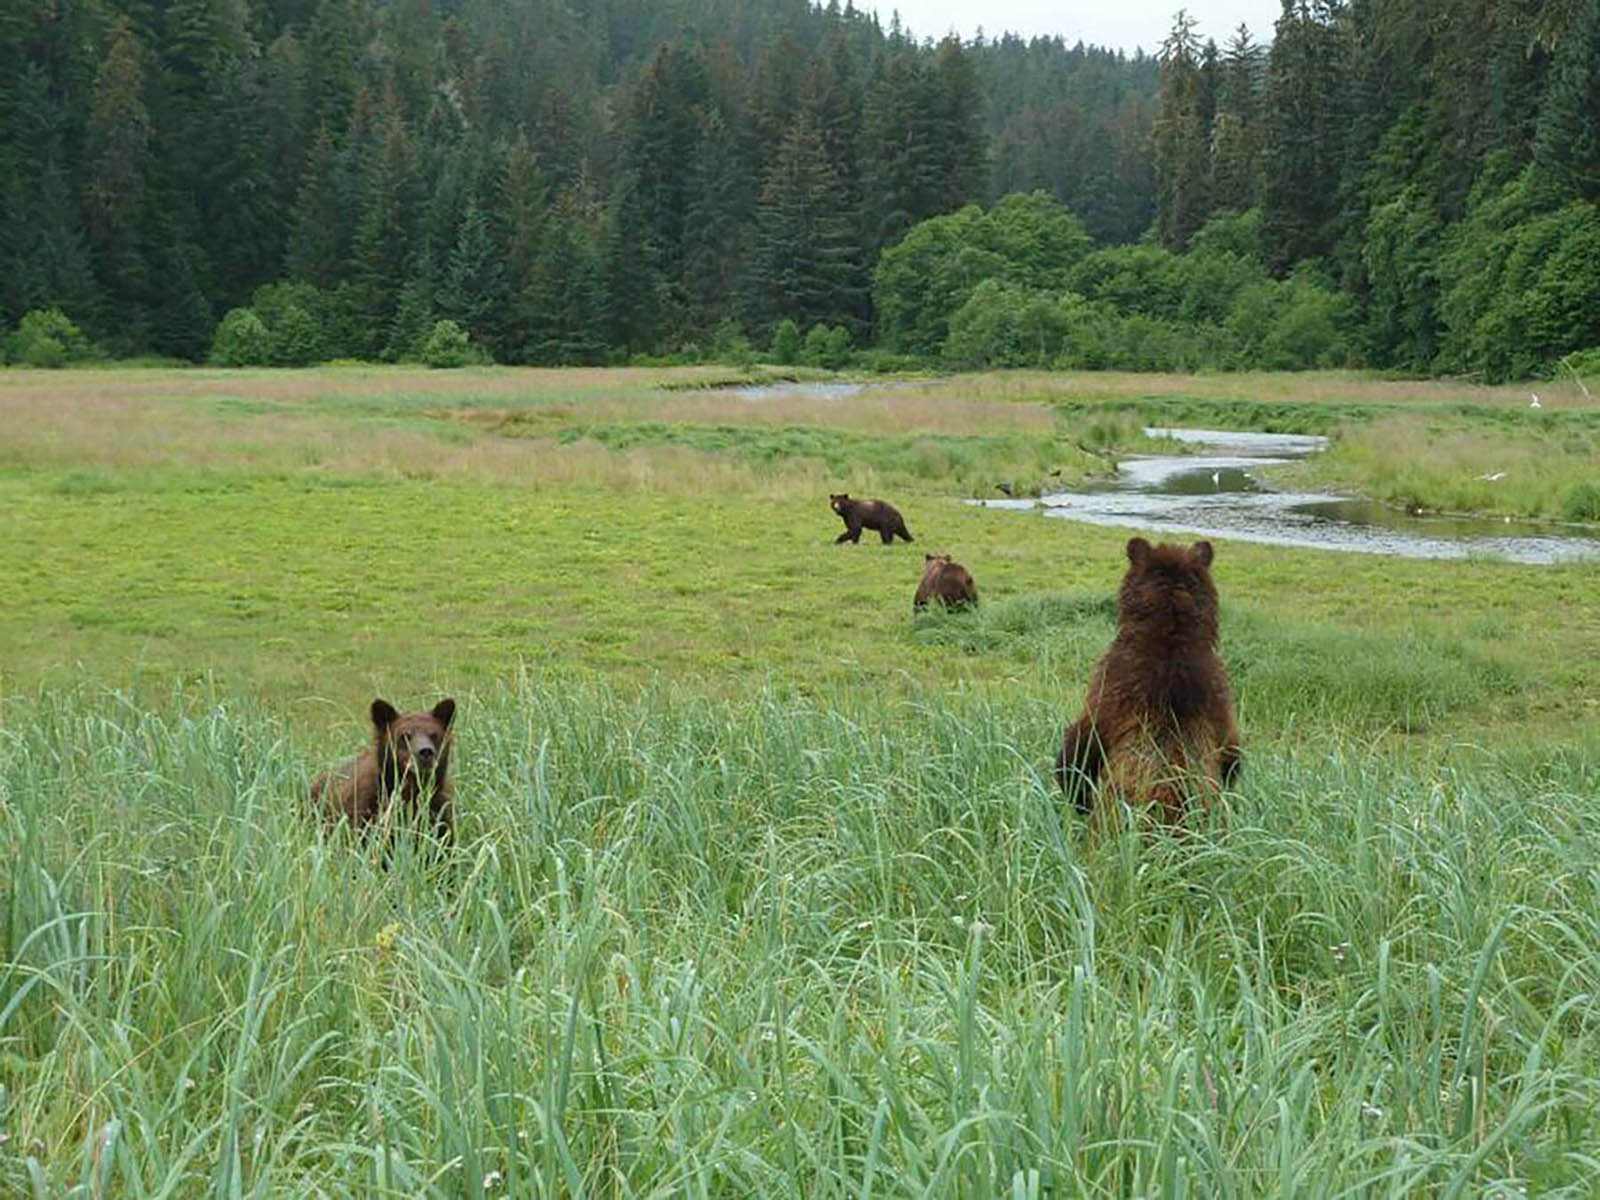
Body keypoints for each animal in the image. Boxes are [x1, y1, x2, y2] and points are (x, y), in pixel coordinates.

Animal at [1056, 540, 1241, 832]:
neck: (1171, 631)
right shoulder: (1218, 697)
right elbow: (1231, 753)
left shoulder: (1108, 690)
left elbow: (1078, 748)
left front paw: (1079, 799)